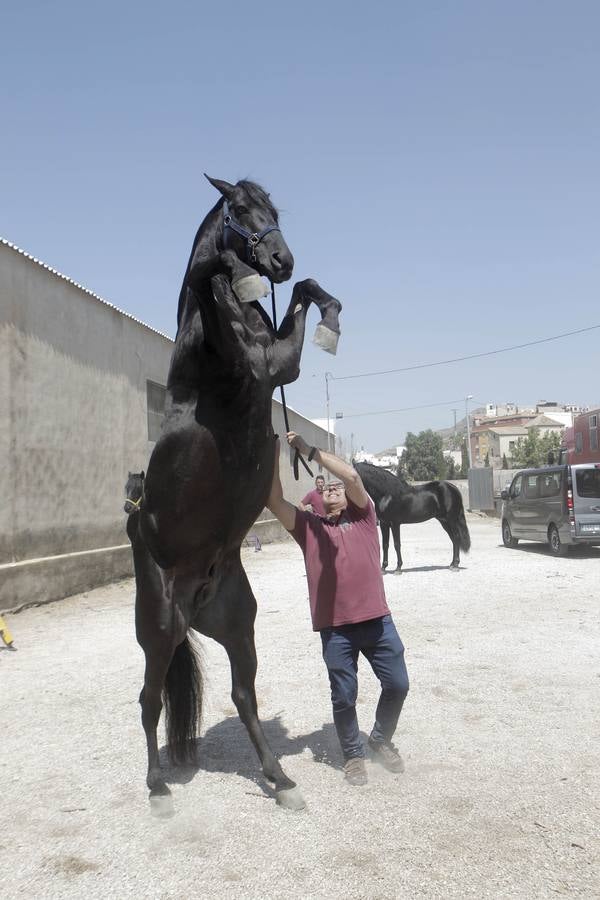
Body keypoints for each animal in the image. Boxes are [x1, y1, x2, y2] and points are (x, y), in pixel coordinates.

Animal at [128, 178, 340, 816]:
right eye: (239, 212)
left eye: (274, 211)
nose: (280, 258)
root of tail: (194, 598)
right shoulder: (266, 364)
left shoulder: (275, 360)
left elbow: (308, 290)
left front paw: (329, 316)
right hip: (159, 630)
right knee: (149, 701)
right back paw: (157, 788)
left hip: (238, 624)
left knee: (243, 695)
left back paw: (280, 779)